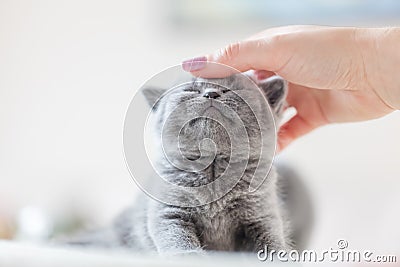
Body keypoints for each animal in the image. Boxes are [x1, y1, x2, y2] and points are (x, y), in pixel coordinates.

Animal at [70, 74, 310, 256]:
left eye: (231, 90)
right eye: (191, 89)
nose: (211, 93)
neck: (213, 170)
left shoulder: (262, 216)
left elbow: (271, 242)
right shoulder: (168, 212)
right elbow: (176, 238)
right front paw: (190, 257)